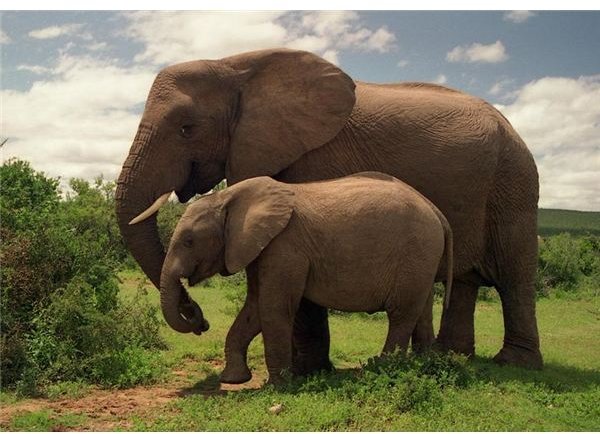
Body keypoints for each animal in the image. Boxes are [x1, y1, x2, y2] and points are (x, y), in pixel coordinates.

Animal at [159, 172, 450, 384]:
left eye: (188, 241)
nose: (202, 323)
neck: (227, 197)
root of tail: (436, 211)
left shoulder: (285, 247)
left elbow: (273, 307)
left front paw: (279, 385)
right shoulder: (259, 248)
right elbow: (254, 308)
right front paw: (233, 380)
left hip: (415, 252)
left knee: (401, 314)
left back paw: (382, 368)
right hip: (423, 258)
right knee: (421, 311)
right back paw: (423, 364)